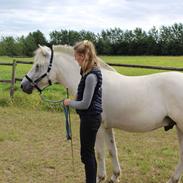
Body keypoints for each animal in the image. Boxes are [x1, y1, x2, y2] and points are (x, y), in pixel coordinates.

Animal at [20, 44, 183, 183]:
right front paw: (115, 176)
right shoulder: (107, 126)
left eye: (38, 66)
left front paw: (100, 177)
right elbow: (112, 150)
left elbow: (99, 153)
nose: (23, 85)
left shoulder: (97, 128)